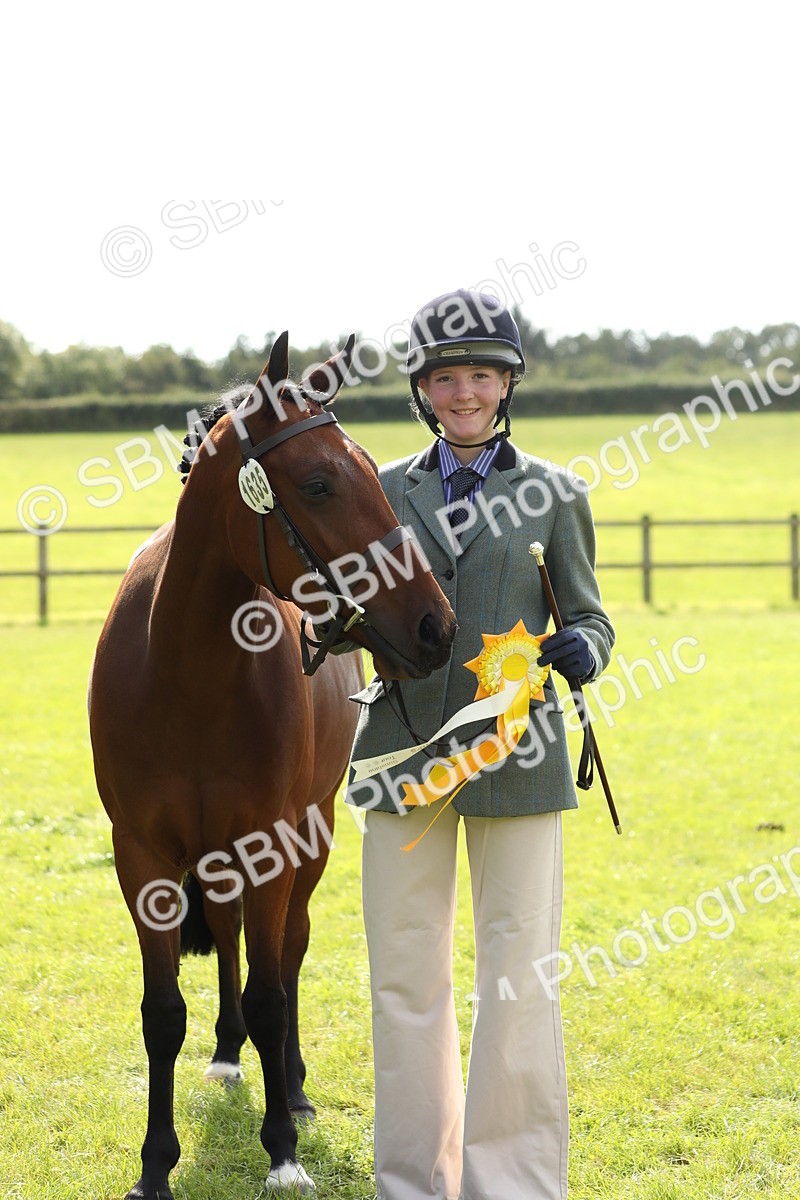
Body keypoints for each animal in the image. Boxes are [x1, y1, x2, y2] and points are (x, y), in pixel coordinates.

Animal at [89, 331, 457, 1199]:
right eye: (318, 483)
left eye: (372, 468)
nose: (436, 625)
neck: (183, 674)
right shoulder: (142, 855)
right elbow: (162, 1013)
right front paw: (154, 1167)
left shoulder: (271, 845)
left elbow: (271, 991)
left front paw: (283, 1149)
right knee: (228, 937)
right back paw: (227, 1056)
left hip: (306, 841)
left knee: (286, 954)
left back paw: (289, 1083)